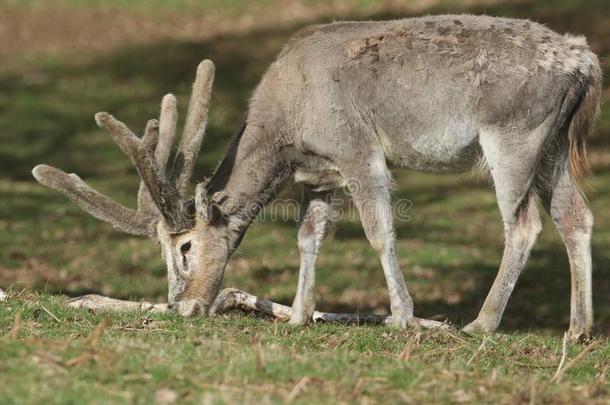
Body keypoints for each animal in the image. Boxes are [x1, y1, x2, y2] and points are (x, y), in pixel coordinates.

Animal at [32, 14, 600, 340]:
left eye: (185, 247)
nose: (184, 305)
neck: (287, 129)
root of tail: (588, 63)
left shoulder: (356, 148)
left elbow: (379, 231)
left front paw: (402, 317)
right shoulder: (318, 176)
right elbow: (308, 238)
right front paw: (300, 315)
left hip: (513, 133)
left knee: (524, 225)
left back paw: (482, 322)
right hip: (553, 144)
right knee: (578, 216)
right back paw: (578, 330)